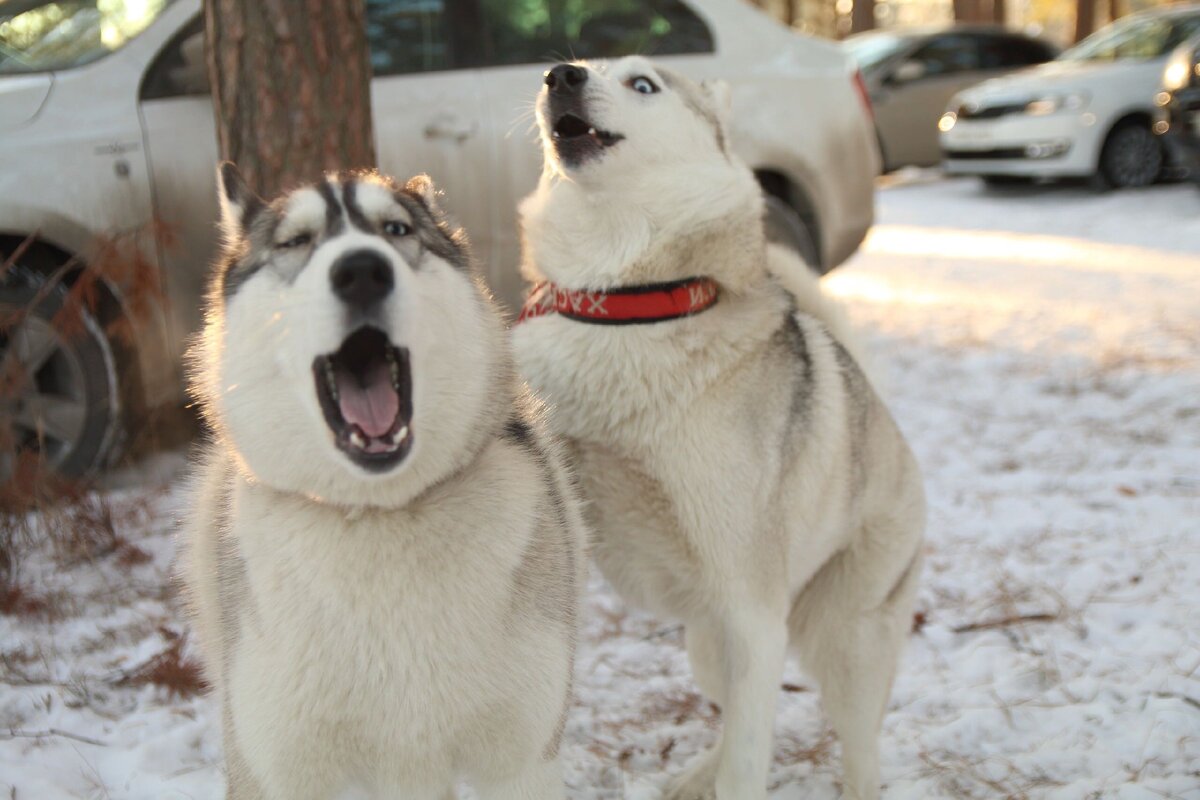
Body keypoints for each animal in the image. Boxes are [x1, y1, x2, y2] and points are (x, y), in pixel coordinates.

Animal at [178, 165, 585, 796]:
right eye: (296, 241)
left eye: (395, 230)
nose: (362, 270)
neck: (378, 514)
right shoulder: (279, 769)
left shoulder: (522, 762)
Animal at [511, 57, 921, 800]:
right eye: (571, 63)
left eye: (644, 83)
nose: (561, 74)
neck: (623, 305)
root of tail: (882, 414)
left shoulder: (754, 614)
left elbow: (752, 761)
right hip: (707, 644)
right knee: (732, 716)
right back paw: (695, 773)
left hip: (842, 643)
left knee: (854, 747)